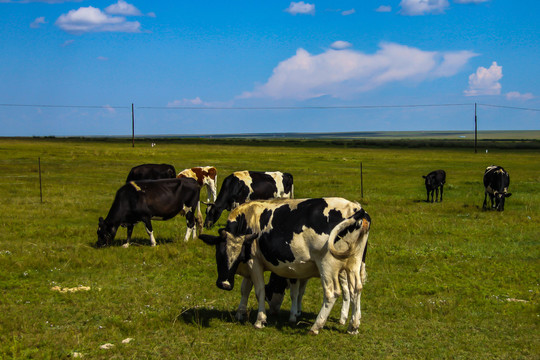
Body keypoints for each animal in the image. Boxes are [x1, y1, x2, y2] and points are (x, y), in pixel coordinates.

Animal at [199, 197, 372, 334]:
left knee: (332, 293)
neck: (246, 220)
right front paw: (240, 313)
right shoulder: (249, 262)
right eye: (219, 254)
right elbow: (245, 289)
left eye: (236, 257)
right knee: (356, 289)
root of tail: (357, 209)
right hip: (353, 263)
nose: (224, 284)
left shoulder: (254, 261)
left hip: (328, 265)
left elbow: (259, 291)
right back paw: (353, 326)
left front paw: (260, 320)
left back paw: (316, 326)